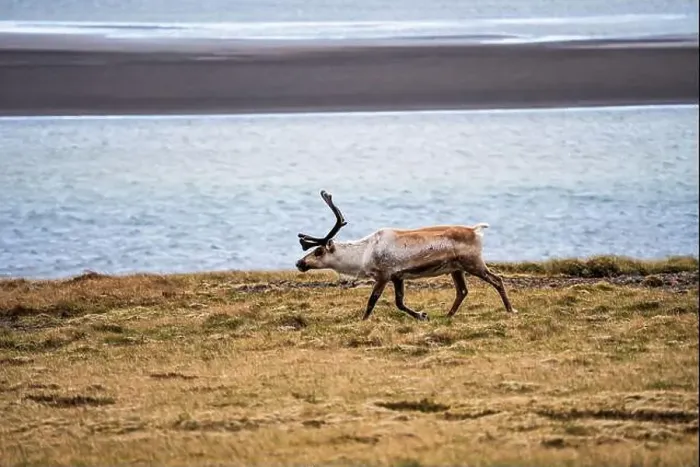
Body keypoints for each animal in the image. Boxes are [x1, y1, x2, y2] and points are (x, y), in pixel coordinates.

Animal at [294, 190, 517, 321]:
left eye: (319, 251)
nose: (299, 262)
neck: (363, 253)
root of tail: (475, 230)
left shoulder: (384, 275)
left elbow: (372, 300)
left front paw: (363, 320)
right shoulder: (398, 277)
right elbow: (399, 303)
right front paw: (422, 315)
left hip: (473, 263)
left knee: (497, 280)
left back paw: (510, 310)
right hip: (456, 268)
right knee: (462, 291)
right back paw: (448, 315)